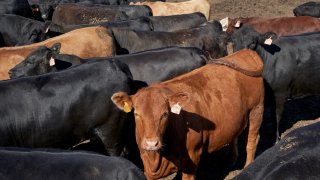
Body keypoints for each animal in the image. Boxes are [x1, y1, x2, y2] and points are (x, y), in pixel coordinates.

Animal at [111, 48, 264, 179]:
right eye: (136, 114)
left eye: (165, 114)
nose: (151, 144)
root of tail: (246, 52)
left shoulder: (192, 158)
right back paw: (232, 160)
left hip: (257, 109)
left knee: (252, 140)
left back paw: (248, 167)